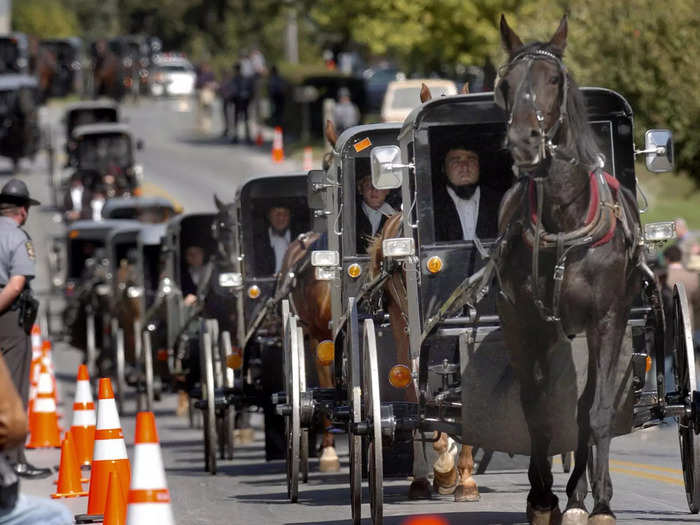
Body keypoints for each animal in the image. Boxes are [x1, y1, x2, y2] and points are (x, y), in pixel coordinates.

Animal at [492, 14, 640, 520]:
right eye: (507, 83)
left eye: (553, 80)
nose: (524, 141)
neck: (566, 220)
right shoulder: (530, 322)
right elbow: (538, 411)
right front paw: (541, 496)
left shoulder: (608, 319)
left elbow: (596, 410)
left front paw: (601, 503)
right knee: (541, 402)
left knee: (583, 404)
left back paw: (581, 493)